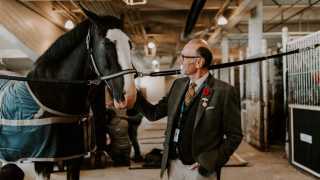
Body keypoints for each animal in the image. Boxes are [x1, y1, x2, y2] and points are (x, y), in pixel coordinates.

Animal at [0, 7, 136, 180]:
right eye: (106, 43)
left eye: (130, 44)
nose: (129, 96)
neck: (54, 90)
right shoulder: (42, 161)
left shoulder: (73, 158)